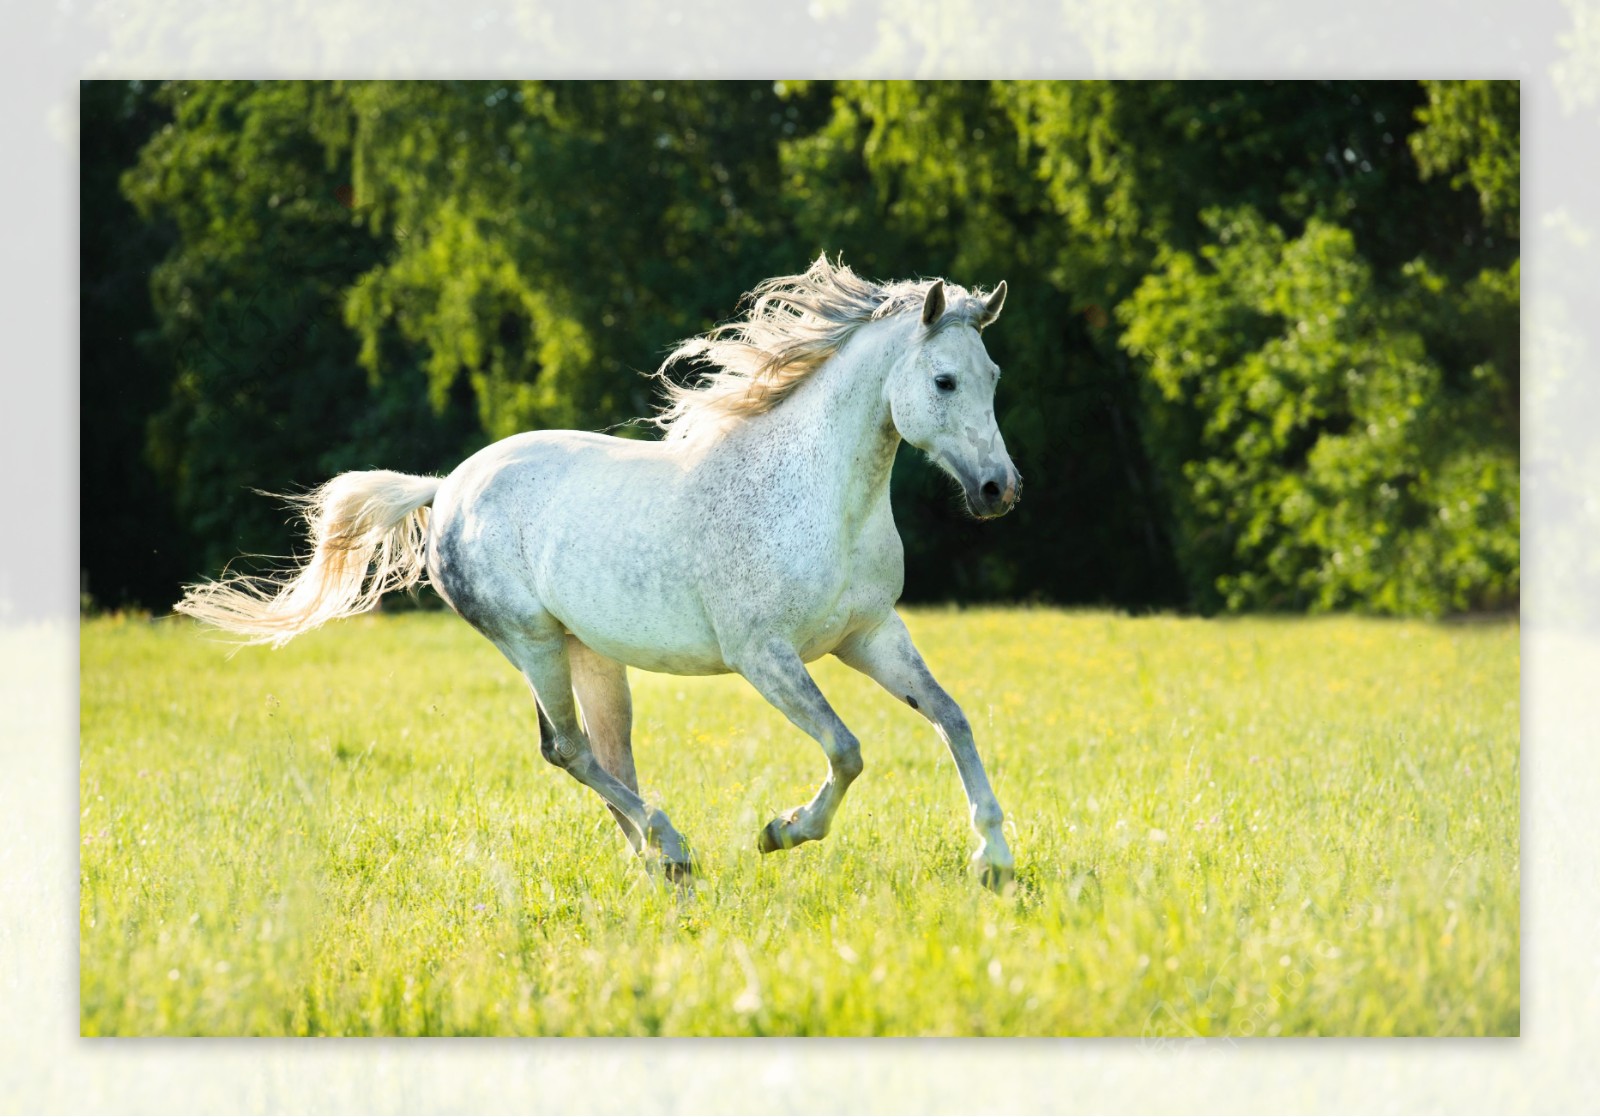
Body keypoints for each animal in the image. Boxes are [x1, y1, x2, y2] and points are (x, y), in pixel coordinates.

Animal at [178, 252, 1024, 889]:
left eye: (993, 376)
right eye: (944, 381)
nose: (999, 490)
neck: (816, 494)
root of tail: (445, 487)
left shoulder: (869, 633)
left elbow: (951, 715)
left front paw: (995, 857)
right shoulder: (765, 655)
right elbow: (847, 748)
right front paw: (782, 830)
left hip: (590, 652)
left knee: (607, 753)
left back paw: (658, 861)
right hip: (532, 642)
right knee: (569, 749)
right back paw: (672, 845)